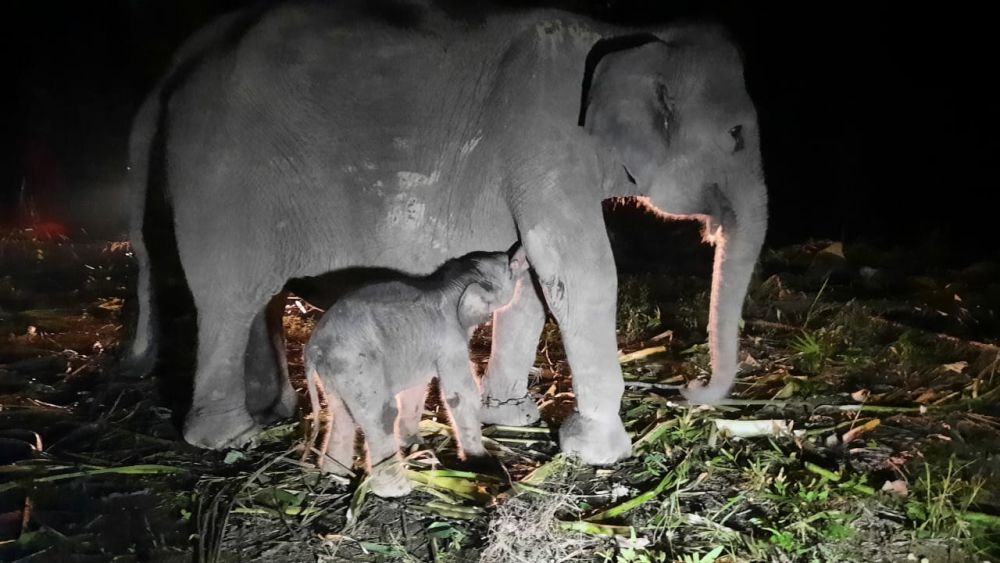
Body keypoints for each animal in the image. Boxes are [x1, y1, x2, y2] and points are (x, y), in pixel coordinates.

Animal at [125, 0, 764, 468]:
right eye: (736, 135)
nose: (690, 388)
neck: (624, 34)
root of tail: (173, 71)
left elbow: (529, 281)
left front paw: (514, 416)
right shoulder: (543, 138)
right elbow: (578, 273)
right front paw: (593, 449)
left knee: (263, 296)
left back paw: (274, 411)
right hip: (222, 176)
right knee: (230, 294)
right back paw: (230, 437)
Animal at [302, 245, 532, 496]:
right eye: (508, 267)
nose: (520, 248)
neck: (451, 285)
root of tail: (314, 349)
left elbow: (416, 390)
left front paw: (415, 446)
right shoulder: (450, 342)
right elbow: (461, 395)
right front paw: (483, 464)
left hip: (335, 374)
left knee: (342, 416)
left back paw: (334, 476)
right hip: (357, 367)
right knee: (381, 415)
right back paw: (399, 490)